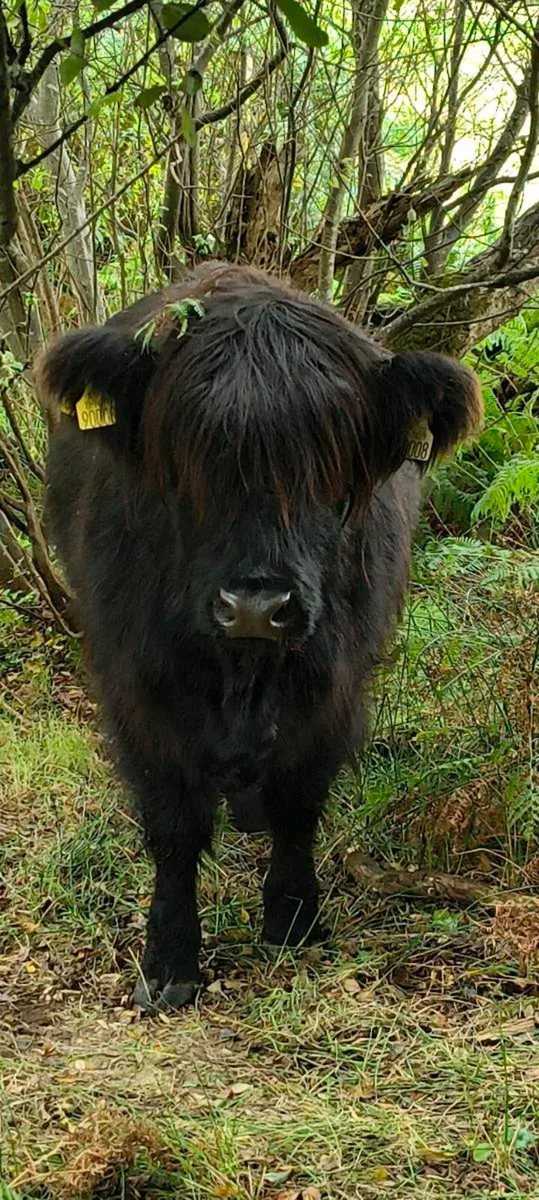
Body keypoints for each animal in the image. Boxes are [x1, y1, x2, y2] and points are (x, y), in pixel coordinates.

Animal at [37, 262, 482, 1013]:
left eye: (330, 468)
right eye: (187, 463)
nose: (255, 607)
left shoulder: (333, 686)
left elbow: (299, 803)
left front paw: (292, 920)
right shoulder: (139, 689)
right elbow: (173, 826)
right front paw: (169, 961)